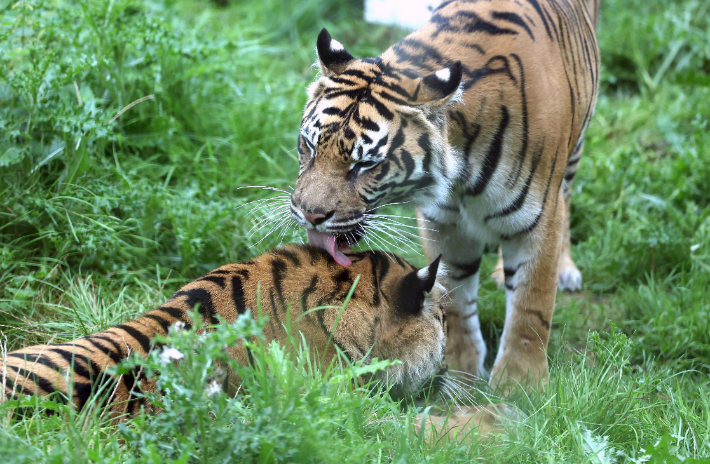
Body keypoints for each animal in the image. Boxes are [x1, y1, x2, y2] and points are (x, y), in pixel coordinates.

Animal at [290, 0, 600, 390]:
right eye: (309, 145)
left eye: (365, 164)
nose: (308, 213)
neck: (461, 170)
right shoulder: (443, 221)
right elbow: (453, 295)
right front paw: (461, 371)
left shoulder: (539, 218)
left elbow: (531, 305)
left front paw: (520, 387)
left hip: (573, 155)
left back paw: (565, 269)